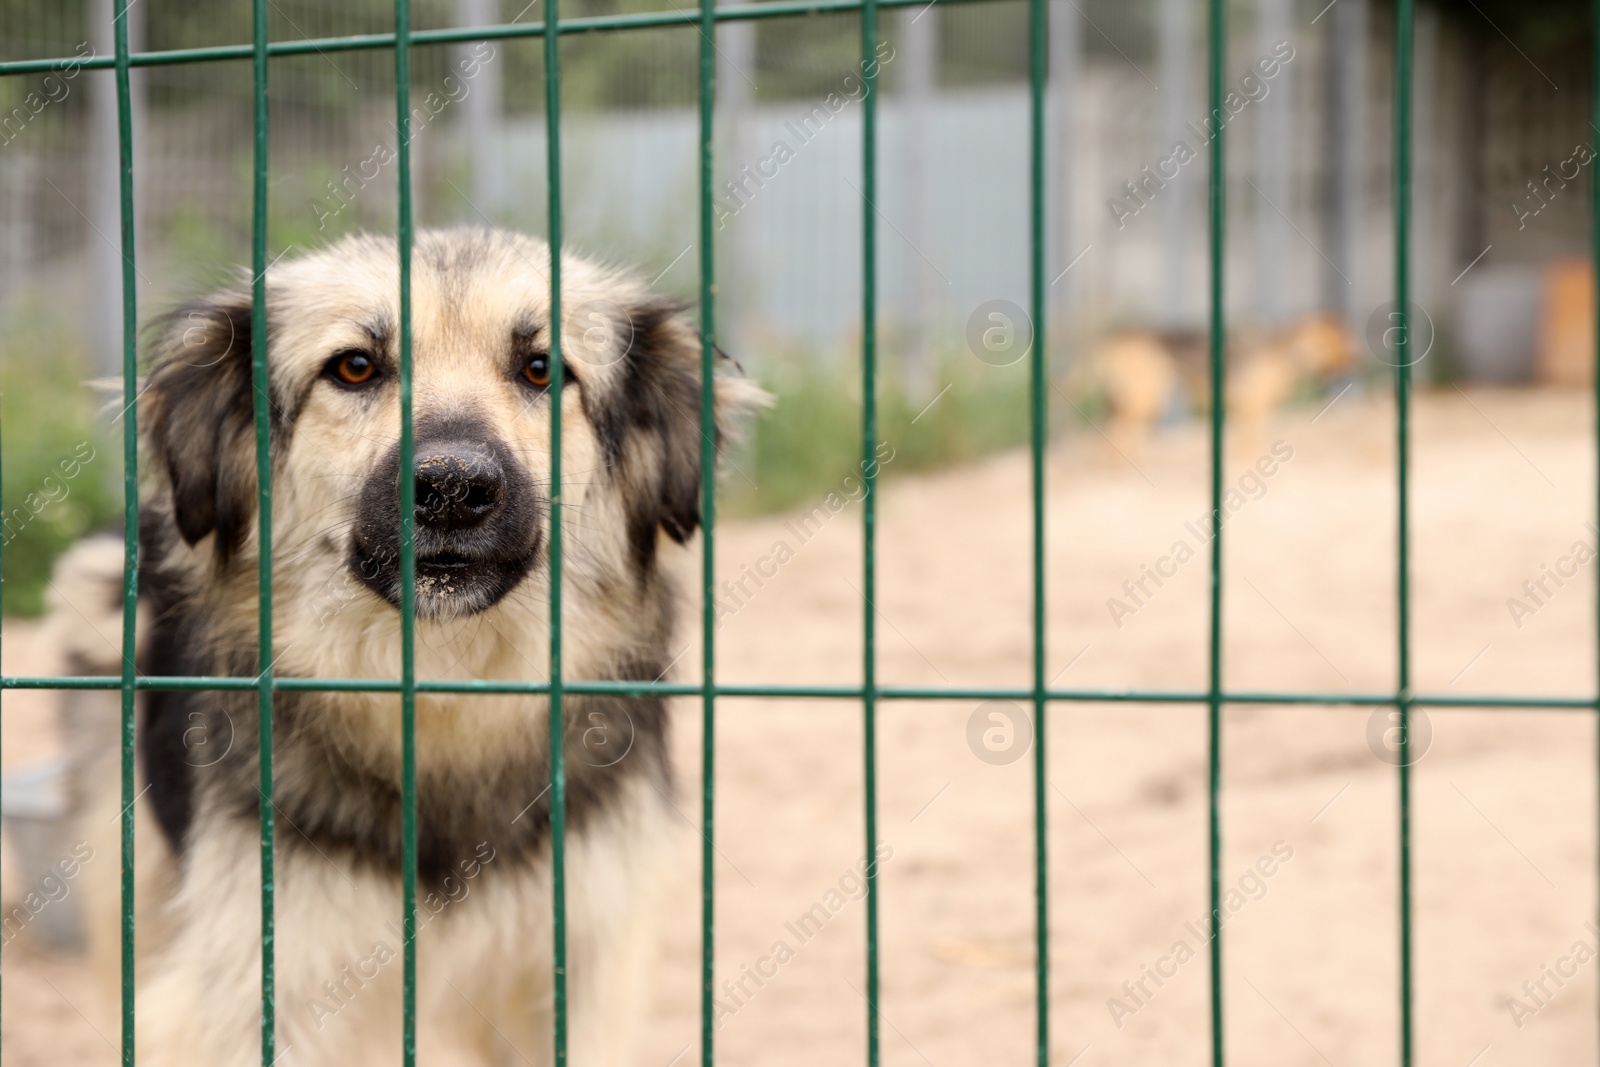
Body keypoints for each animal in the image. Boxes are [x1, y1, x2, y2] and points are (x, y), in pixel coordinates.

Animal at [72, 230, 771, 1062]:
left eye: (541, 368)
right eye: (355, 366)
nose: (452, 489)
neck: (443, 685)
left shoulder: (579, 960)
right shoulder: (259, 980)